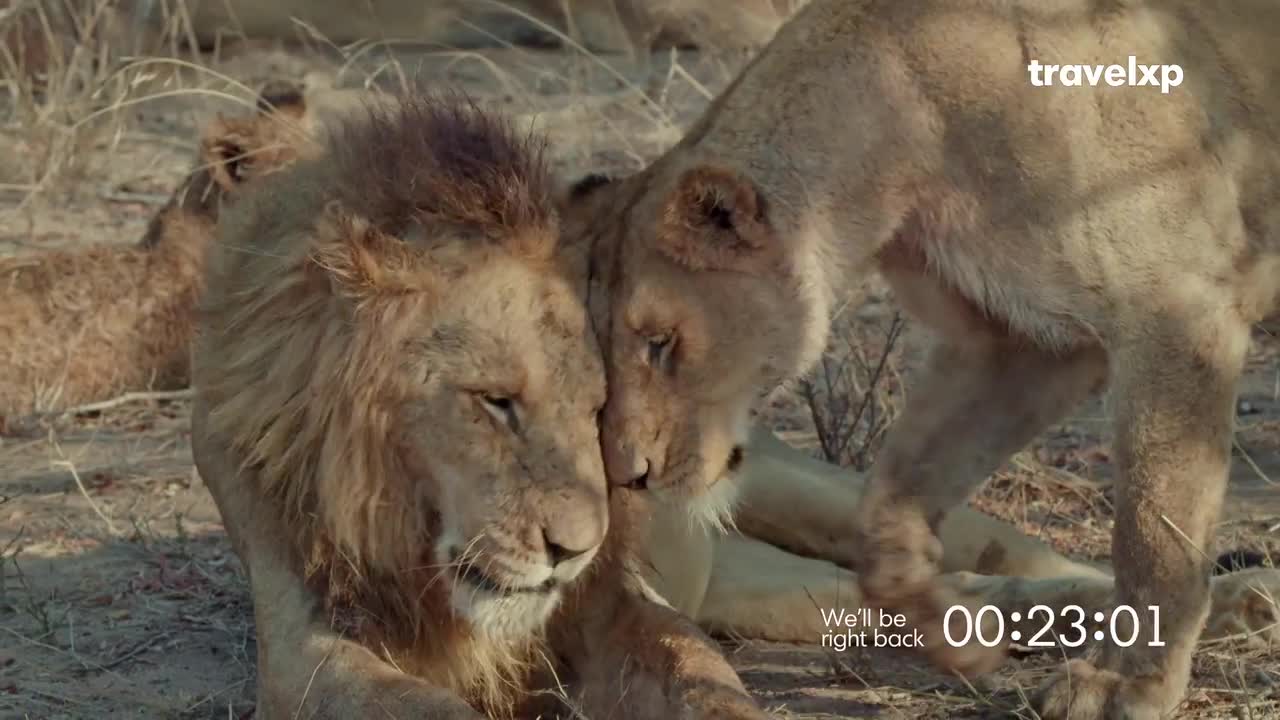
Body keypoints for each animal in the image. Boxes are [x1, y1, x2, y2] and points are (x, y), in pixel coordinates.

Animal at [188, 92, 772, 720]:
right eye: (496, 402)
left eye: (596, 412)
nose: (573, 551)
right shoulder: (299, 647)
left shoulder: (608, 600)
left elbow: (698, 664)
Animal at [564, 1, 1280, 717]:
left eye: (660, 342)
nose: (628, 477)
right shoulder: (1021, 345)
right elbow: (890, 503)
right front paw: (953, 632)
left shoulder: (1176, 303)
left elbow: (1154, 527)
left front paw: (1125, 683)